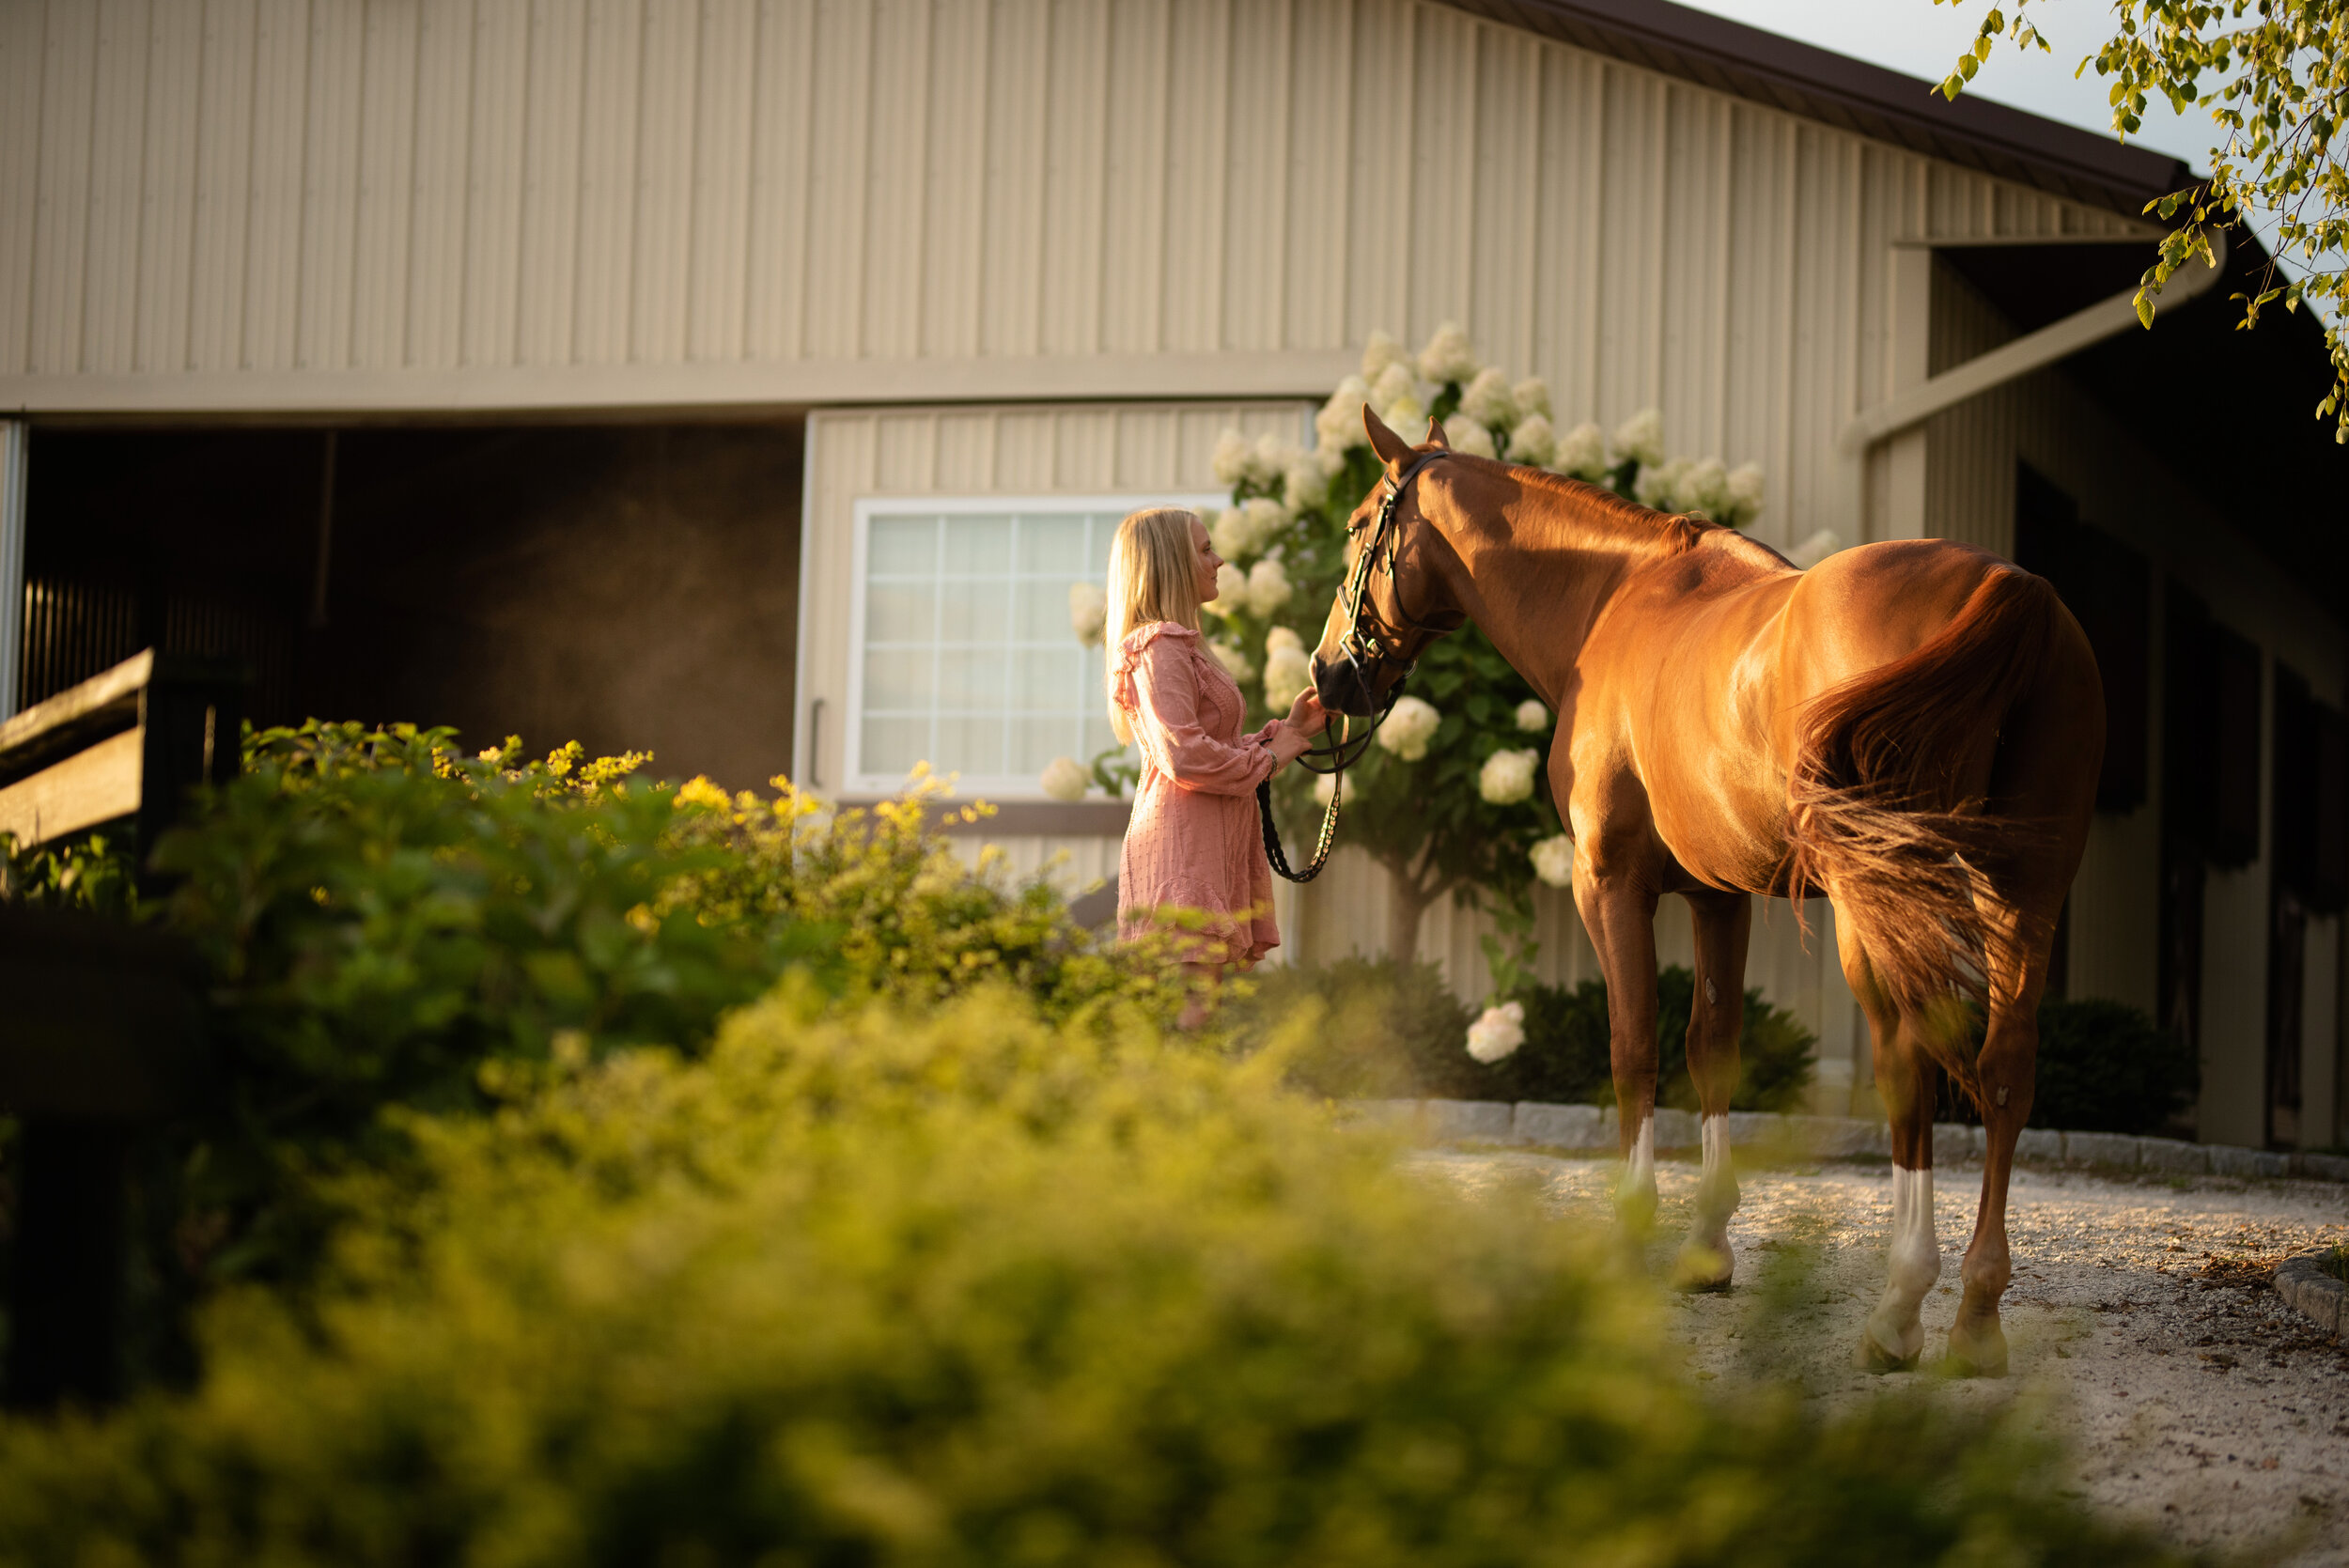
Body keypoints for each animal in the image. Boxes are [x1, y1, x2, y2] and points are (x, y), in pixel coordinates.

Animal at [1311, 406, 2102, 1376]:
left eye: (1358, 528)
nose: (1328, 674)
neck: (1613, 602)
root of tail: (2010, 585)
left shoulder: (1610, 882)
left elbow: (1633, 1047)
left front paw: (1632, 1233)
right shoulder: (1719, 896)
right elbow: (1713, 1046)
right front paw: (1706, 1250)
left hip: (1878, 904)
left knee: (1910, 1060)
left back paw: (1901, 1309)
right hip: (2022, 892)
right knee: (2004, 1068)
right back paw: (1979, 1318)